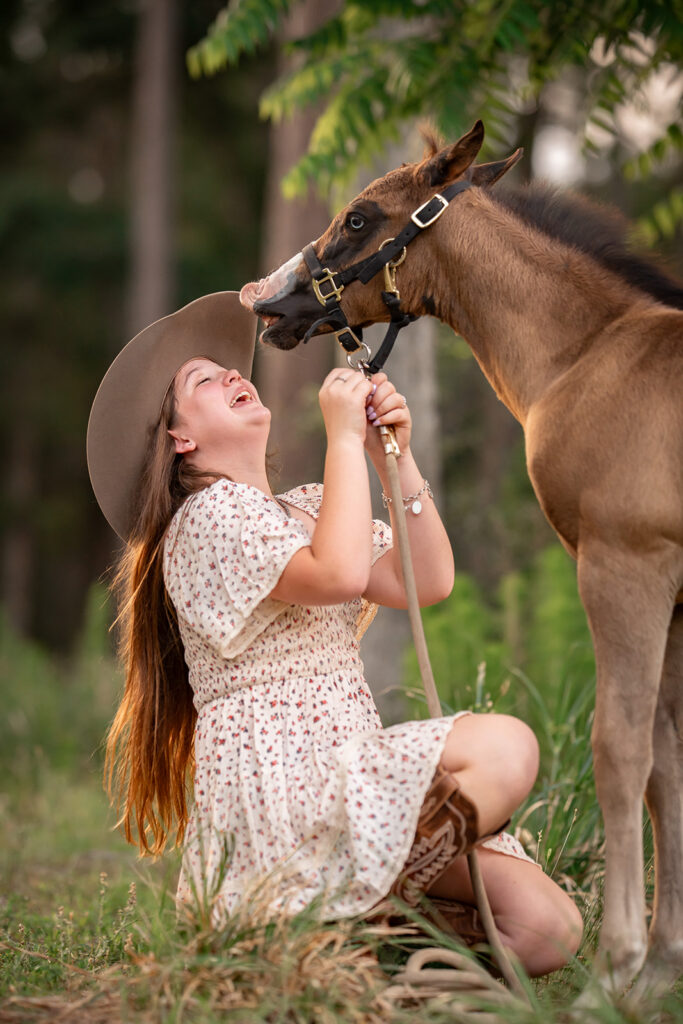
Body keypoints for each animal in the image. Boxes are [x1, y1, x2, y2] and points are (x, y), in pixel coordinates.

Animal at [239, 120, 683, 999]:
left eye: (357, 217)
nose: (267, 301)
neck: (592, 357)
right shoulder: (676, 597)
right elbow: (666, 768)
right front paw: (656, 974)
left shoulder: (625, 567)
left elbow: (620, 750)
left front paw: (612, 978)